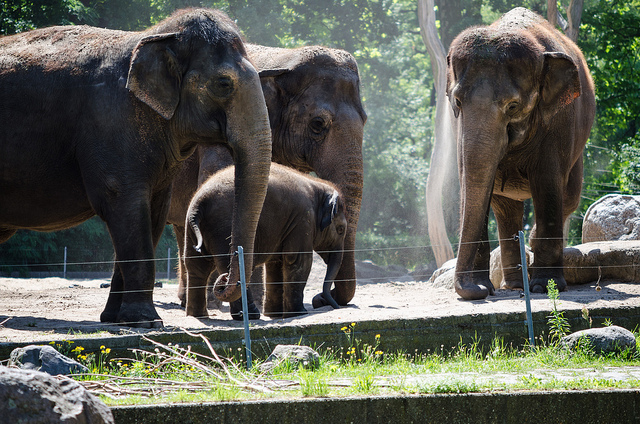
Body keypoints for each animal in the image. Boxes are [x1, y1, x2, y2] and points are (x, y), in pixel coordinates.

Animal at [0, 8, 272, 327]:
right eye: (224, 84)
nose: (223, 281)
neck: (153, 36)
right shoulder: (111, 124)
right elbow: (126, 207)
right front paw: (146, 321)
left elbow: (152, 214)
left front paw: (116, 320)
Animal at [184, 163, 347, 319]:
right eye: (341, 230)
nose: (335, 307)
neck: (318, 185)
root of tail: (199, 204)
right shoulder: (302, 220)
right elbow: (298, 260)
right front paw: (299, 313)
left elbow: (276, 264)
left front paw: (275, 315)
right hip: (223, 228)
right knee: (227, 266)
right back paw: (251, 315)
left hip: (192, 229)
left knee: (196, 266)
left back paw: (198, 315)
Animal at [446, 7, 596, 300]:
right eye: (457, 101)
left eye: (513, 106)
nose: (471, 290)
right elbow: (474, 185)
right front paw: (484, 287)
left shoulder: (559, 123)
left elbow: (548, 184)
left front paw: (544, 287)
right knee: (505, 209)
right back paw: (514, 285)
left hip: (578, 153)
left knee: (568, 198)